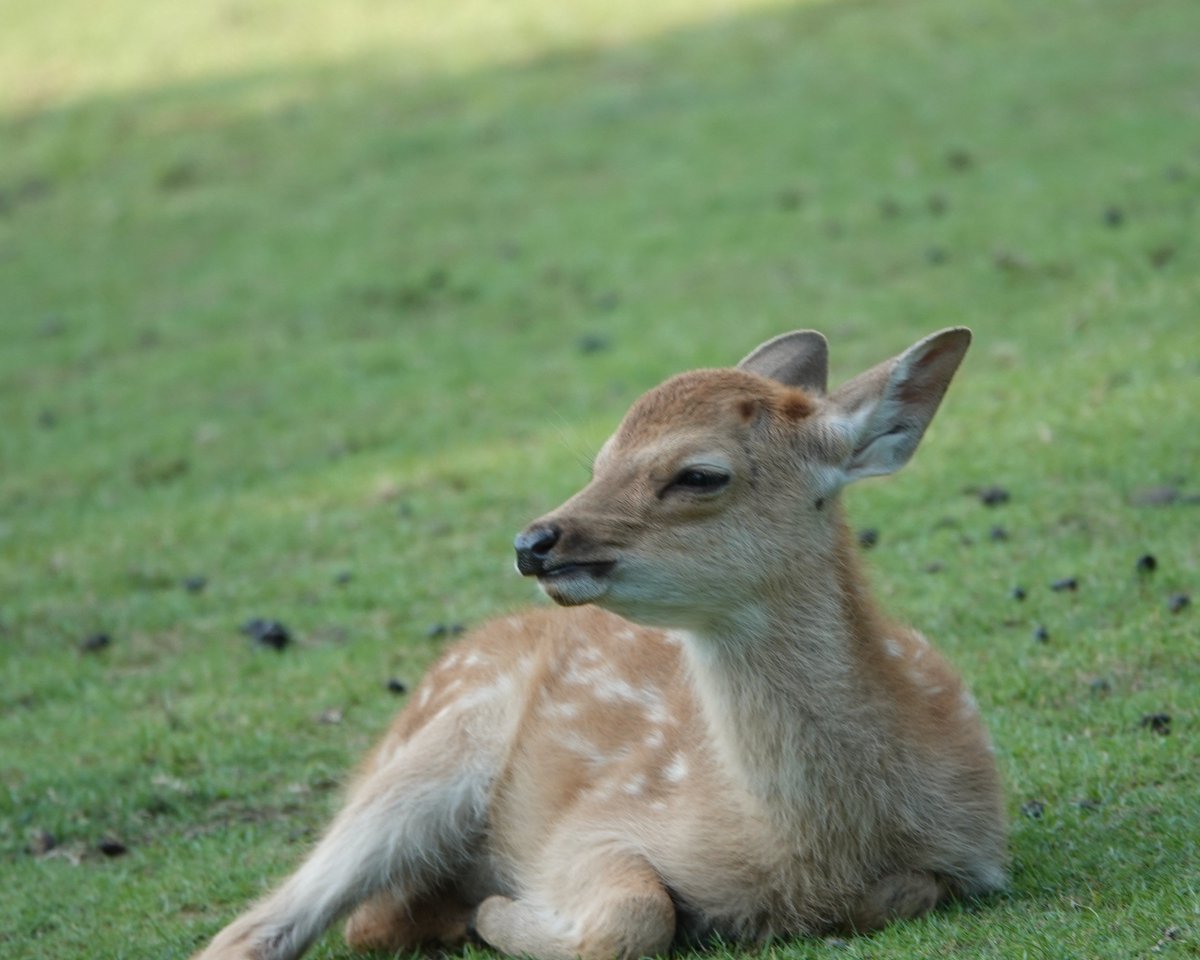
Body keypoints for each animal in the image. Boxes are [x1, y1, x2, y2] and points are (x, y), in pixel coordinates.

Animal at [194, 327, 1006, 960]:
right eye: (600, 462)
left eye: (699, 474)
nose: (533, 543)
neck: (814, 848)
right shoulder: (591, 825)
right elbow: (634, 916)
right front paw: (500, 913)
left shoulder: (976, 852)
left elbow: (910, 890)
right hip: (433, 752)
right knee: (270, 928)